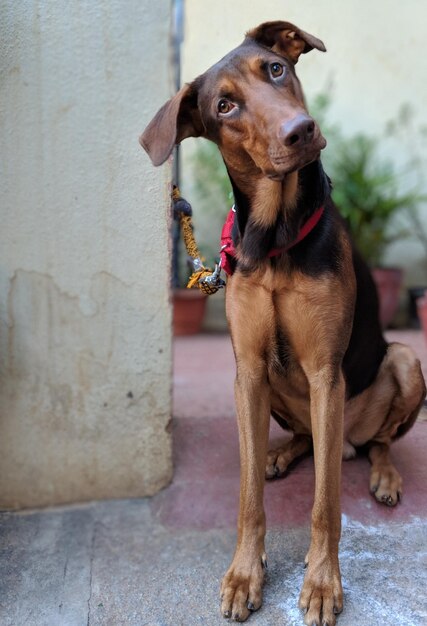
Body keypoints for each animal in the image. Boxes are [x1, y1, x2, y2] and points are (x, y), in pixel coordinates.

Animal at [140, 20, 424, 624]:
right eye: (224, 106)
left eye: (275, 69)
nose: (302, 131)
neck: (275, 238)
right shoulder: (246, 371)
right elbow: (248, 497)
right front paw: (245, 573)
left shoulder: (325, 373)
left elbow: (326, 504)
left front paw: (320, 583)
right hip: (275, 389)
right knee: (310, 442)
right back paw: (282, 455)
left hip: (404, 362)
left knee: (374, 443)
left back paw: (384, 474)